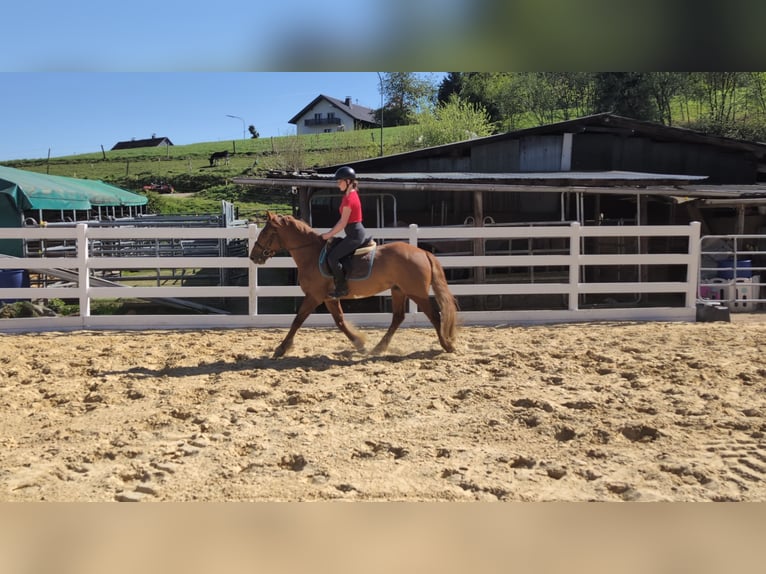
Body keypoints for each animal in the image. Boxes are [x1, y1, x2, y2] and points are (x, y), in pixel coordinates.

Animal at [249, 212, 458, 358]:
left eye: (266, 232)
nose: (253, 256)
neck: (311, 255)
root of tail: (423, 252)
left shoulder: (314, 296)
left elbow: (297, 320)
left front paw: (281, 349)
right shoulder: (329, 298)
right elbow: (340, 322)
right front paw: (360, 344)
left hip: (416, 293)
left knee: (435, 315)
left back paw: (447, 345)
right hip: (399, 290)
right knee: (398, 318)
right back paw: (378, 348)